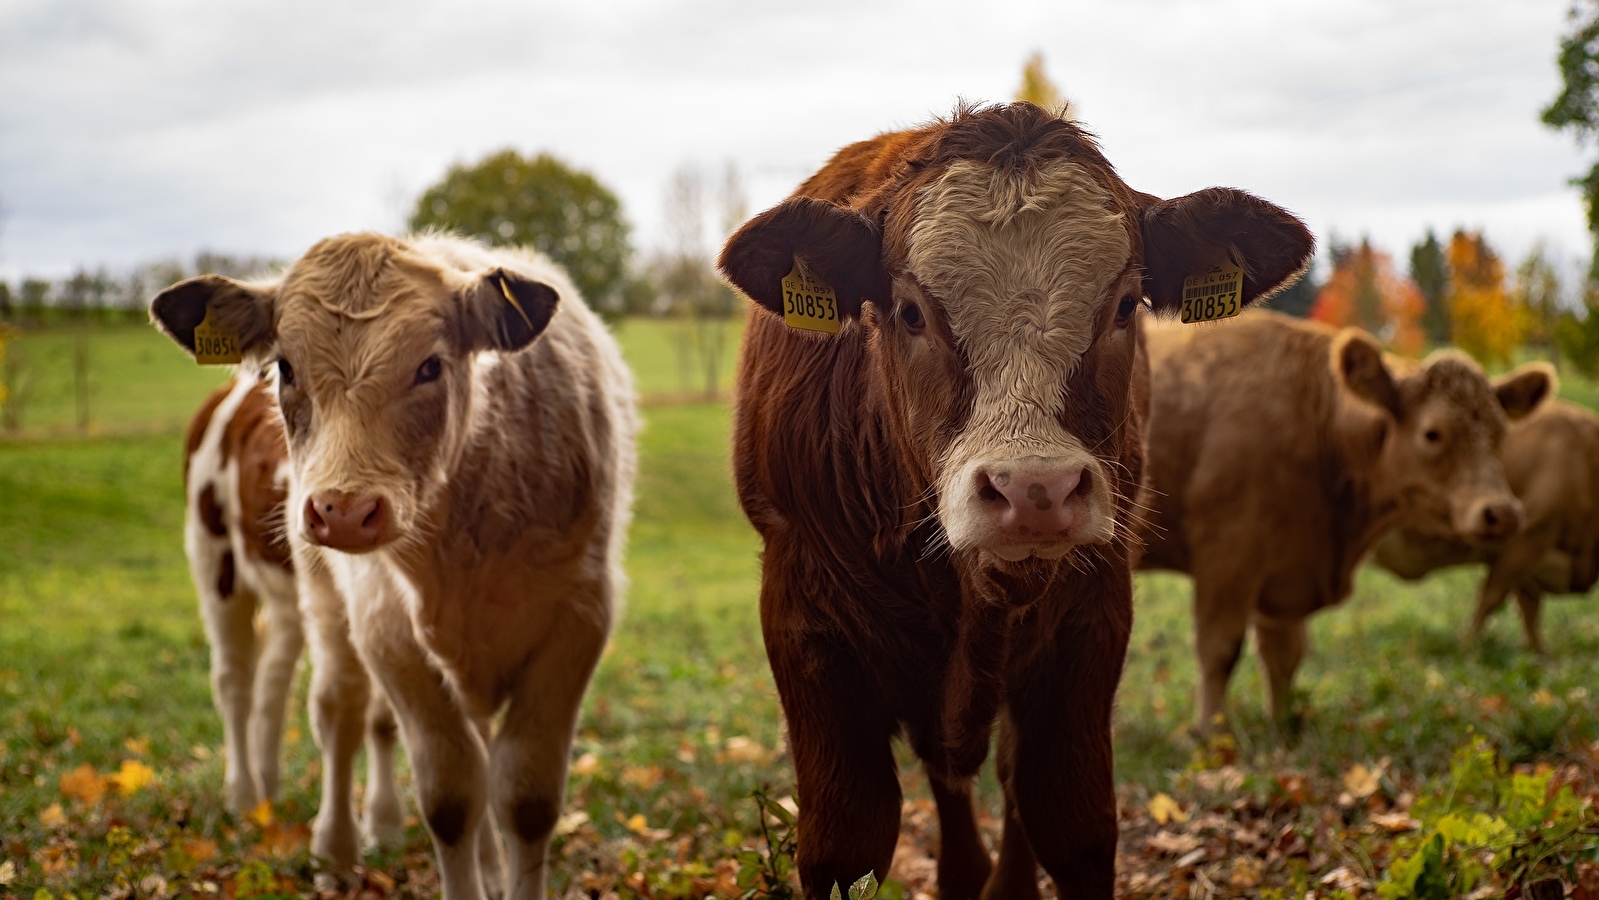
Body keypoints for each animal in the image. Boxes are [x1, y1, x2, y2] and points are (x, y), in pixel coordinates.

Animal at [183, 374, 399, 837]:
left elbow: (385, 715)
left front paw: (383, 823)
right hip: (215, 556)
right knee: (233, 679)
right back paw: (244, 795)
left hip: (288, 598)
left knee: (273, 677)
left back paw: (267, 785)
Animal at [722, 105, 1311, 900]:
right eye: (910, 312)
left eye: (1124, 306)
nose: (1035, 490)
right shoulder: (804, 619)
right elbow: (847, 842)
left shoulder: (1092, 617)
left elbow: (1072, 823)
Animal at [1138, 310, 1547, 732]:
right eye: (1432, 433)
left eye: (1501, 433)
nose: (1503, 512)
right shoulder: (1226, 558)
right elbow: (1220, 650)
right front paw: (1210, 734)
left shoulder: (1286, 572)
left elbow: (1283, 656)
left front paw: (1282, 726)